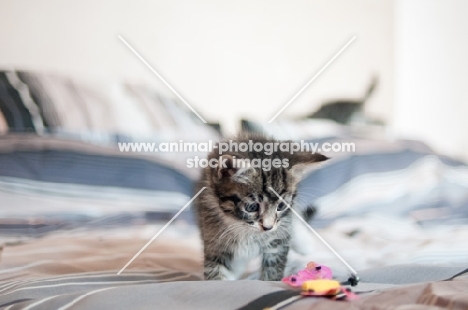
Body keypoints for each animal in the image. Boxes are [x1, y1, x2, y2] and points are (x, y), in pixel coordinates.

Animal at [192, 134, 328, 280]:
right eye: (251, 207)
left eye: (281, 206)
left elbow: (273, 270)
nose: (268, 227)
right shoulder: (214, 239)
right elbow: (216, 272)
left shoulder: (277, 242)